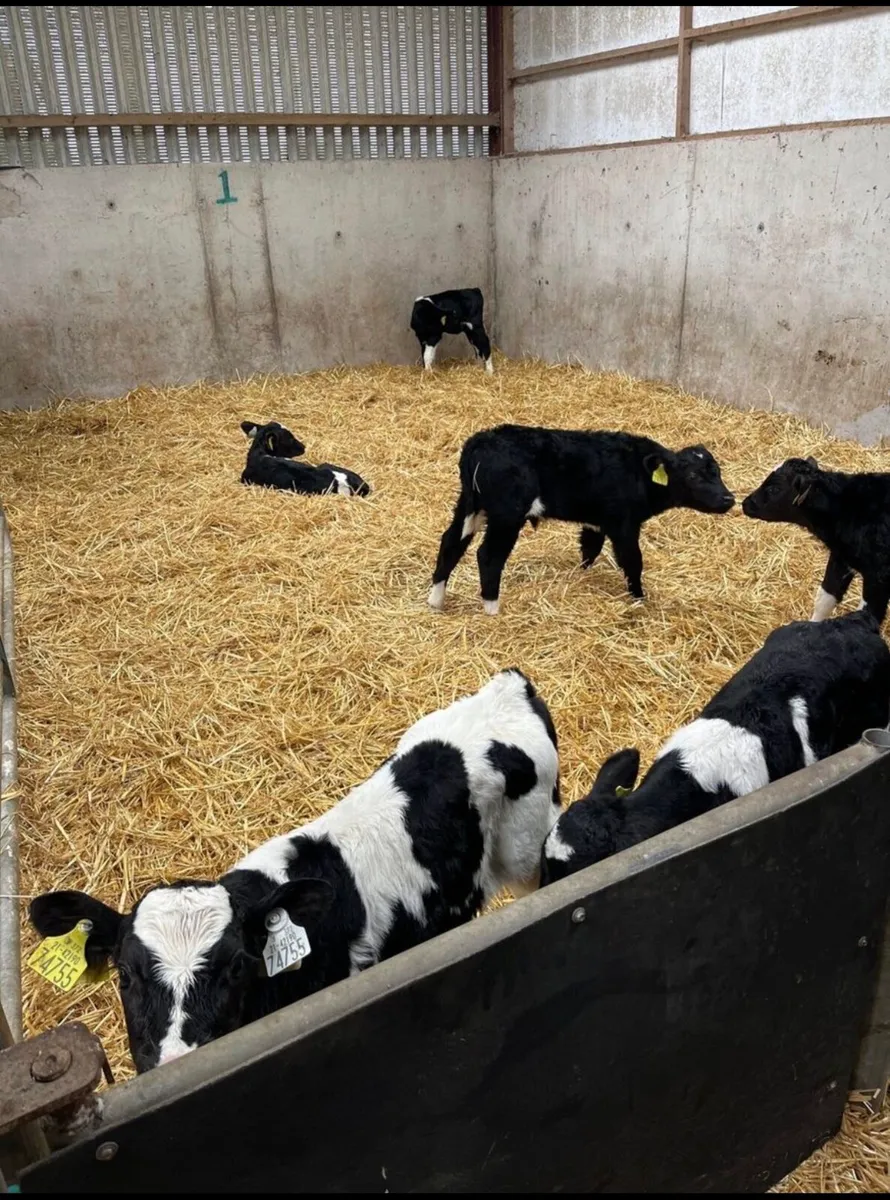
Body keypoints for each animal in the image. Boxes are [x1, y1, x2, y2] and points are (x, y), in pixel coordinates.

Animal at [427, 425, 735, 616]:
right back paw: (492, 608)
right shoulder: (624, 524)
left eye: (718, 472)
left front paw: (581, 575)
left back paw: (435, 601)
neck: (638, 471)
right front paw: (639, 599)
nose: (729, 499)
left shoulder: (596, 520)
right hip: (506, 515)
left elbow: (590, 548)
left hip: (470, 506)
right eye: (693, 475)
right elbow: (633, 561)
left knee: (451, 543)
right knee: (488, 556)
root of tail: (481, 440)